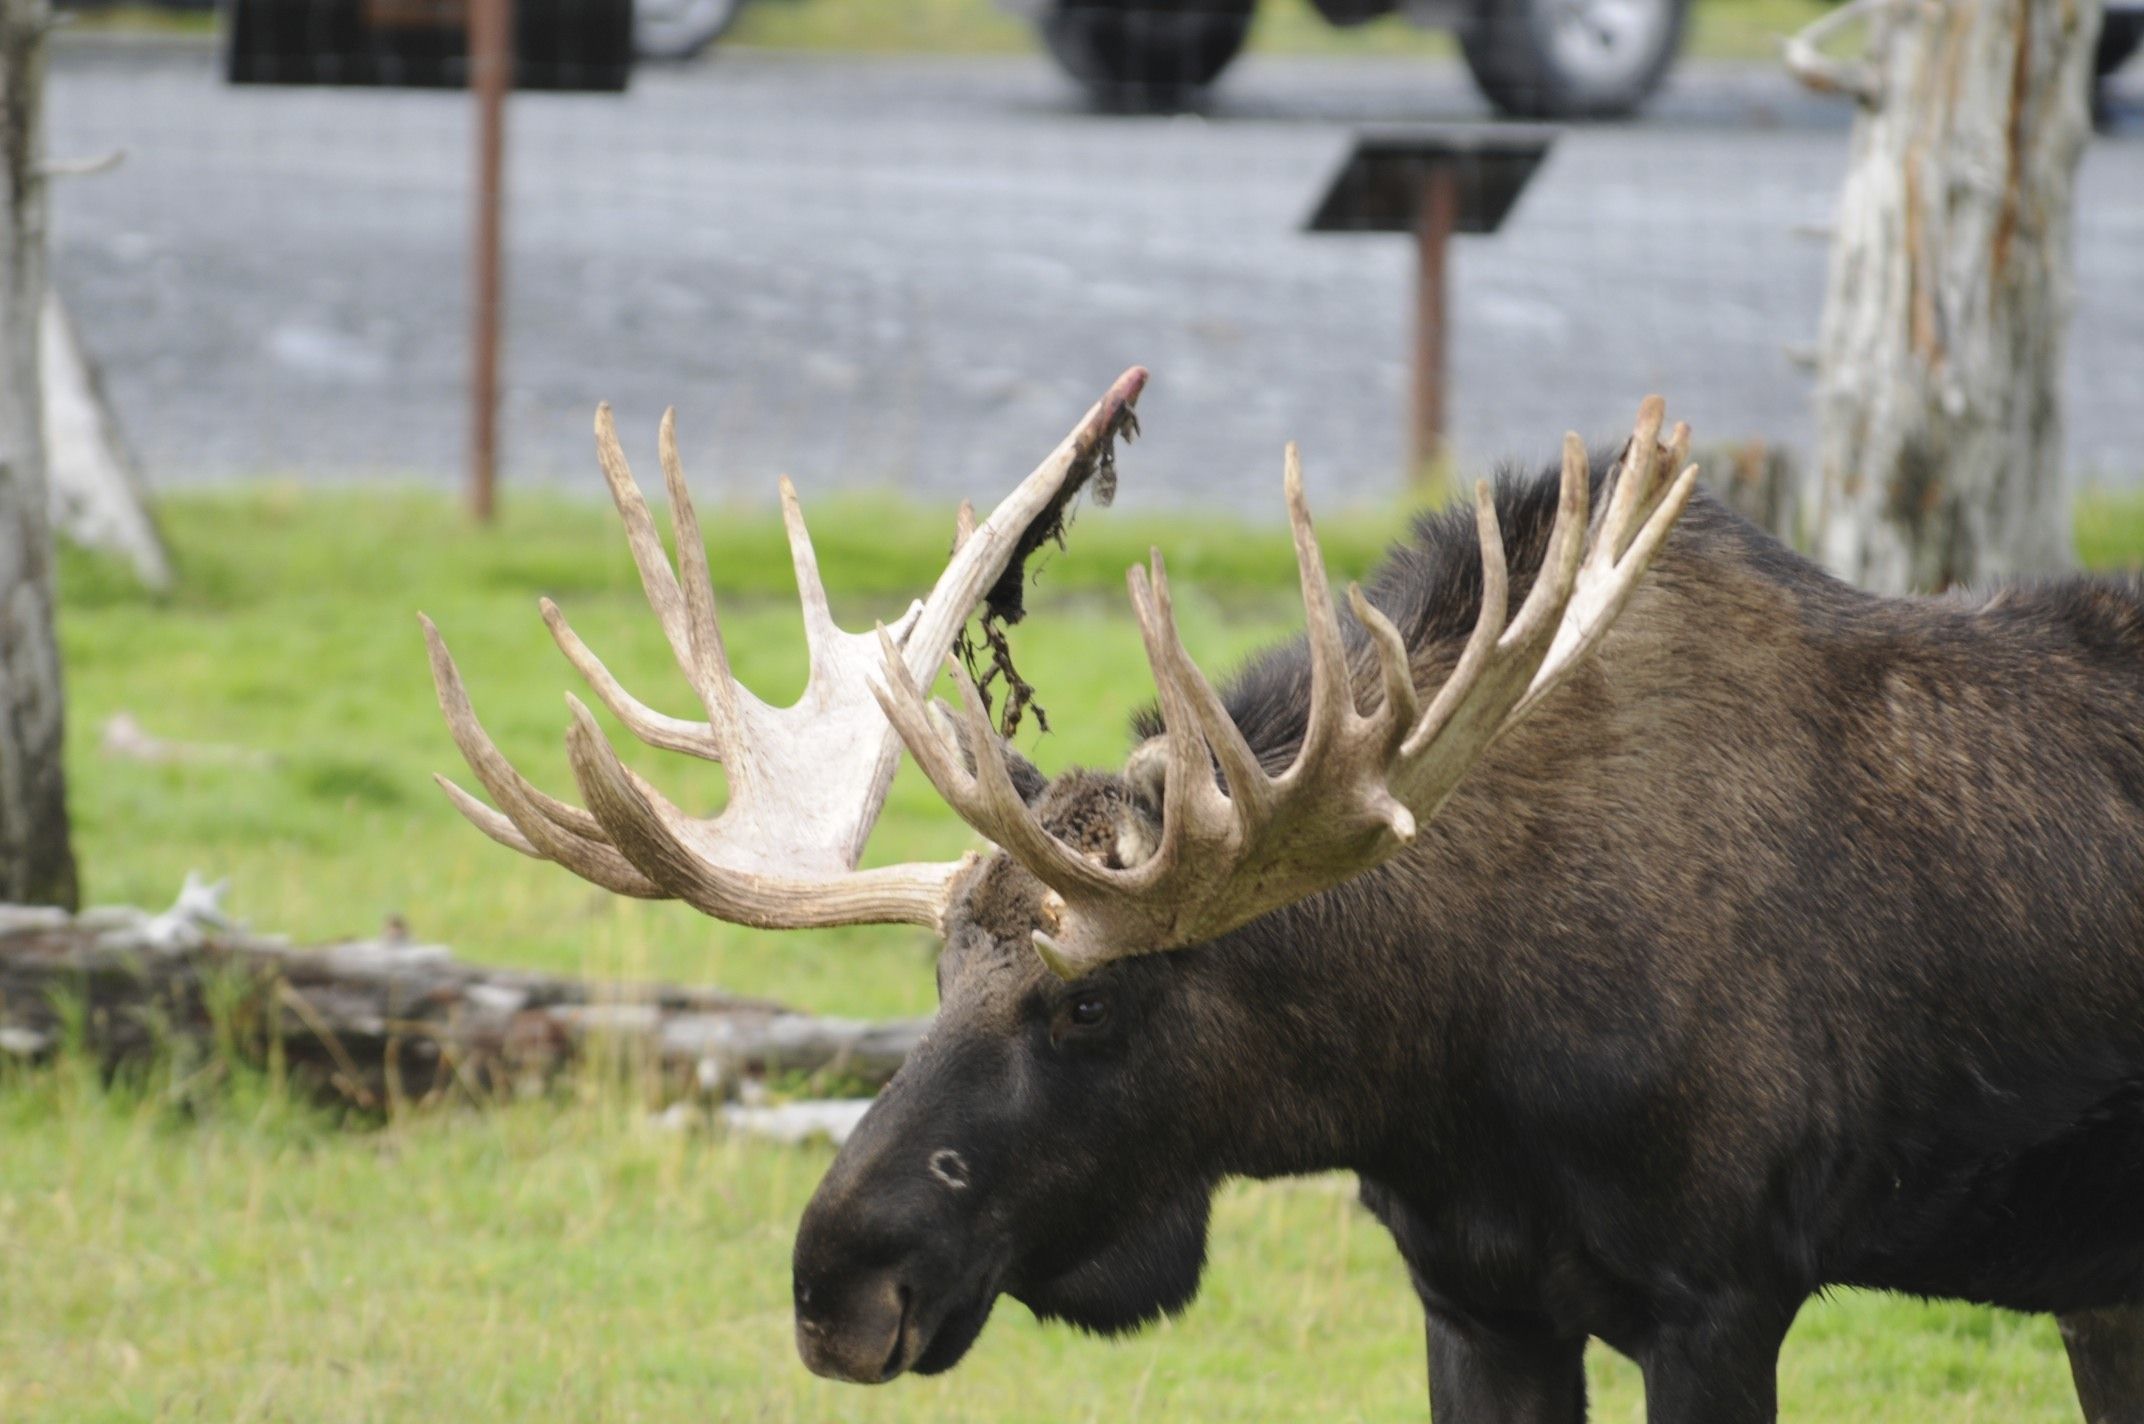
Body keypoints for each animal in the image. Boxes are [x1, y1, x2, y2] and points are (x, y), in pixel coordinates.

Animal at [426, 368, 2144, 1423]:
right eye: (931, 982)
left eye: (1096, 1004)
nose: (837, 1280)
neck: (1443, 1061)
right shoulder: (1478, 1299)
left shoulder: (1721, 1294)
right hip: (2099, 1290)